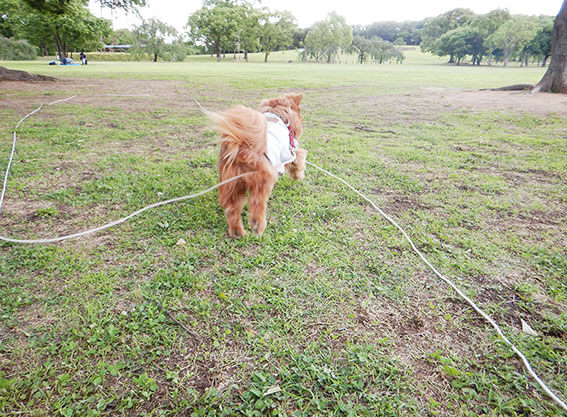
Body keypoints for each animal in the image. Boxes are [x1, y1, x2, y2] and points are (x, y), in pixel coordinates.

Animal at [209, 94, 306, 237]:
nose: (301, 120)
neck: (278, 115)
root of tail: (243, 148)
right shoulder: (290, 153)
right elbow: (300, 158)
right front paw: (298, 176)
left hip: (232, 186)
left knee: (232, 210)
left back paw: (238, 232)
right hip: (262, 181)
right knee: (256, 203)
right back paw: (257, 226)